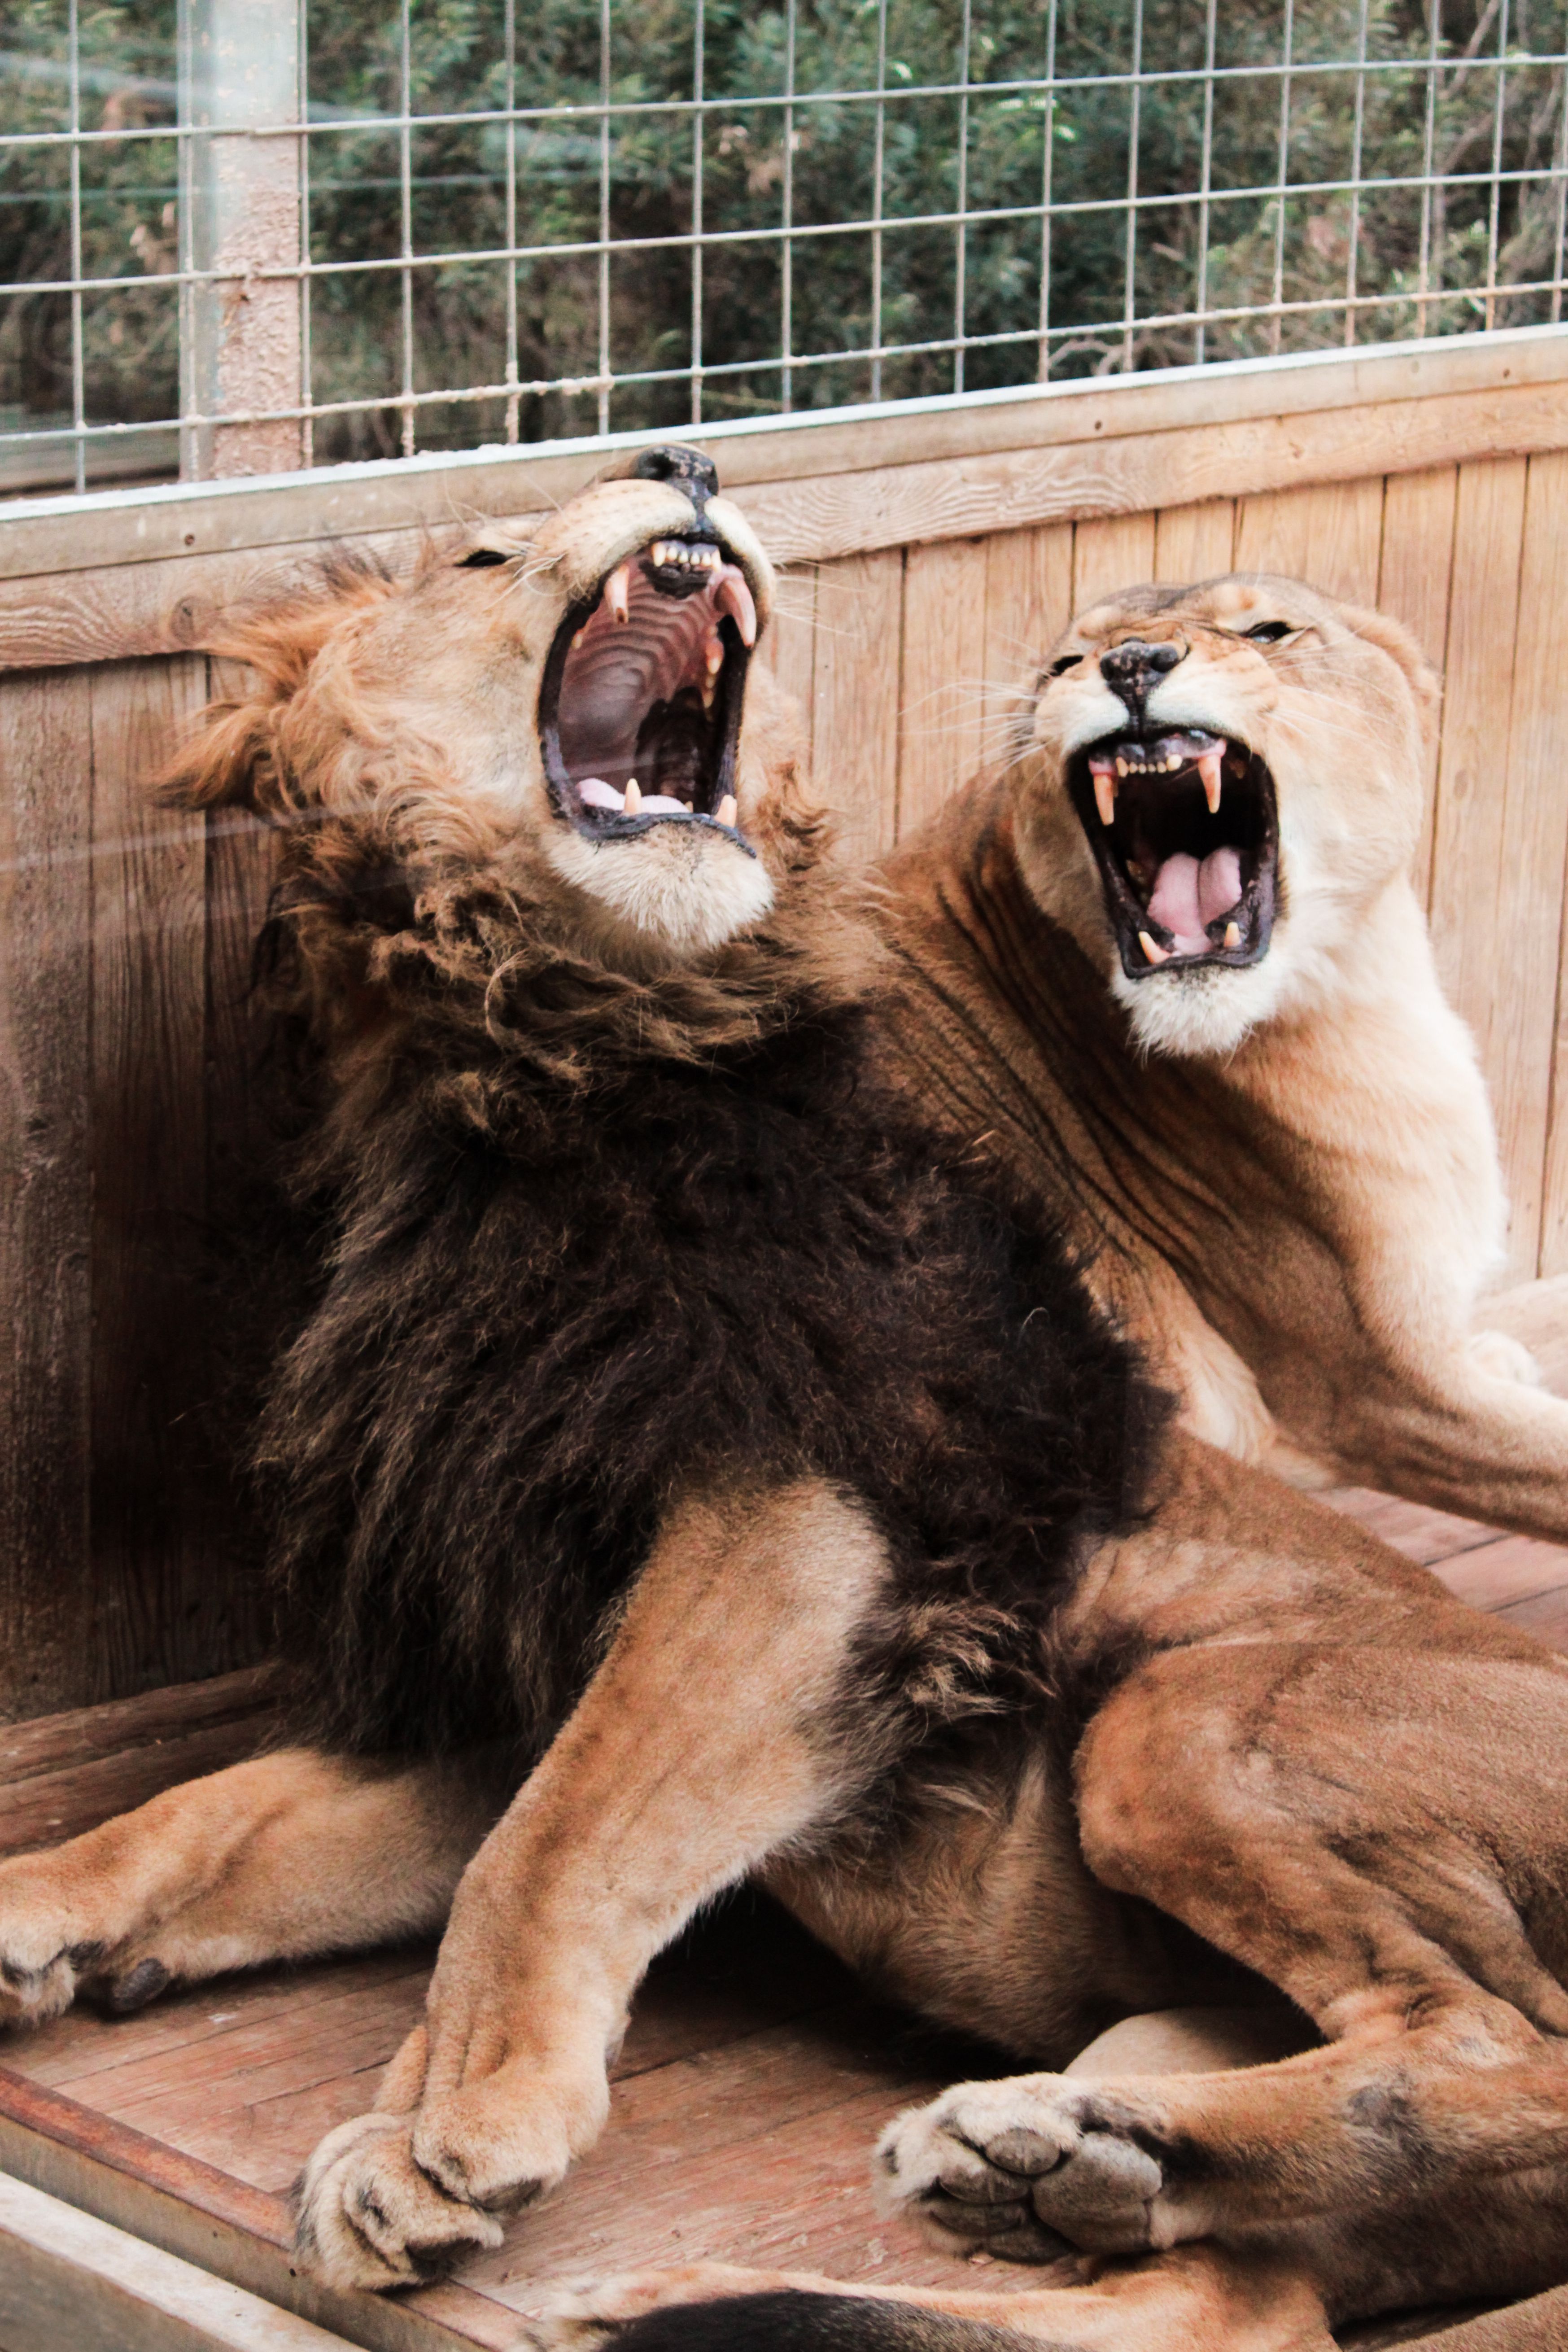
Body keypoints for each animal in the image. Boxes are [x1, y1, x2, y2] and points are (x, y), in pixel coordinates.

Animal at [2, 459, 1568, 2352]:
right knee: (1236, 2296)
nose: (683, 468)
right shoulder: (529, 1646)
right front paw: (37, 1914)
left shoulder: (806, 1522)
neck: (527, 1064)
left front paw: (440, 2126)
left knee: (1499, 2050)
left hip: (1184, 1721)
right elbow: (226, 1808)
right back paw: (1036, 2167)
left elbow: (543, 1850)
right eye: (482, 550)